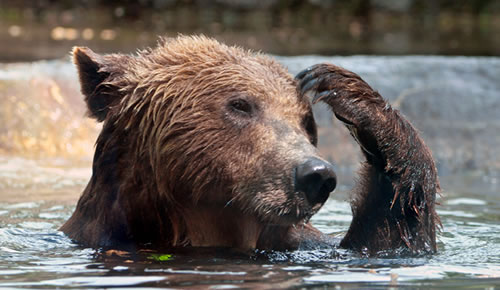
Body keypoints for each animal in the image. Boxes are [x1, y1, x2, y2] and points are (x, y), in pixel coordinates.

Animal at [60, 35, 440, 255]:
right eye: (241, 104)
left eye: (305, 121)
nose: (316, 174)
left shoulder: (307, 247)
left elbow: (386, 243)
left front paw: (339, 84)